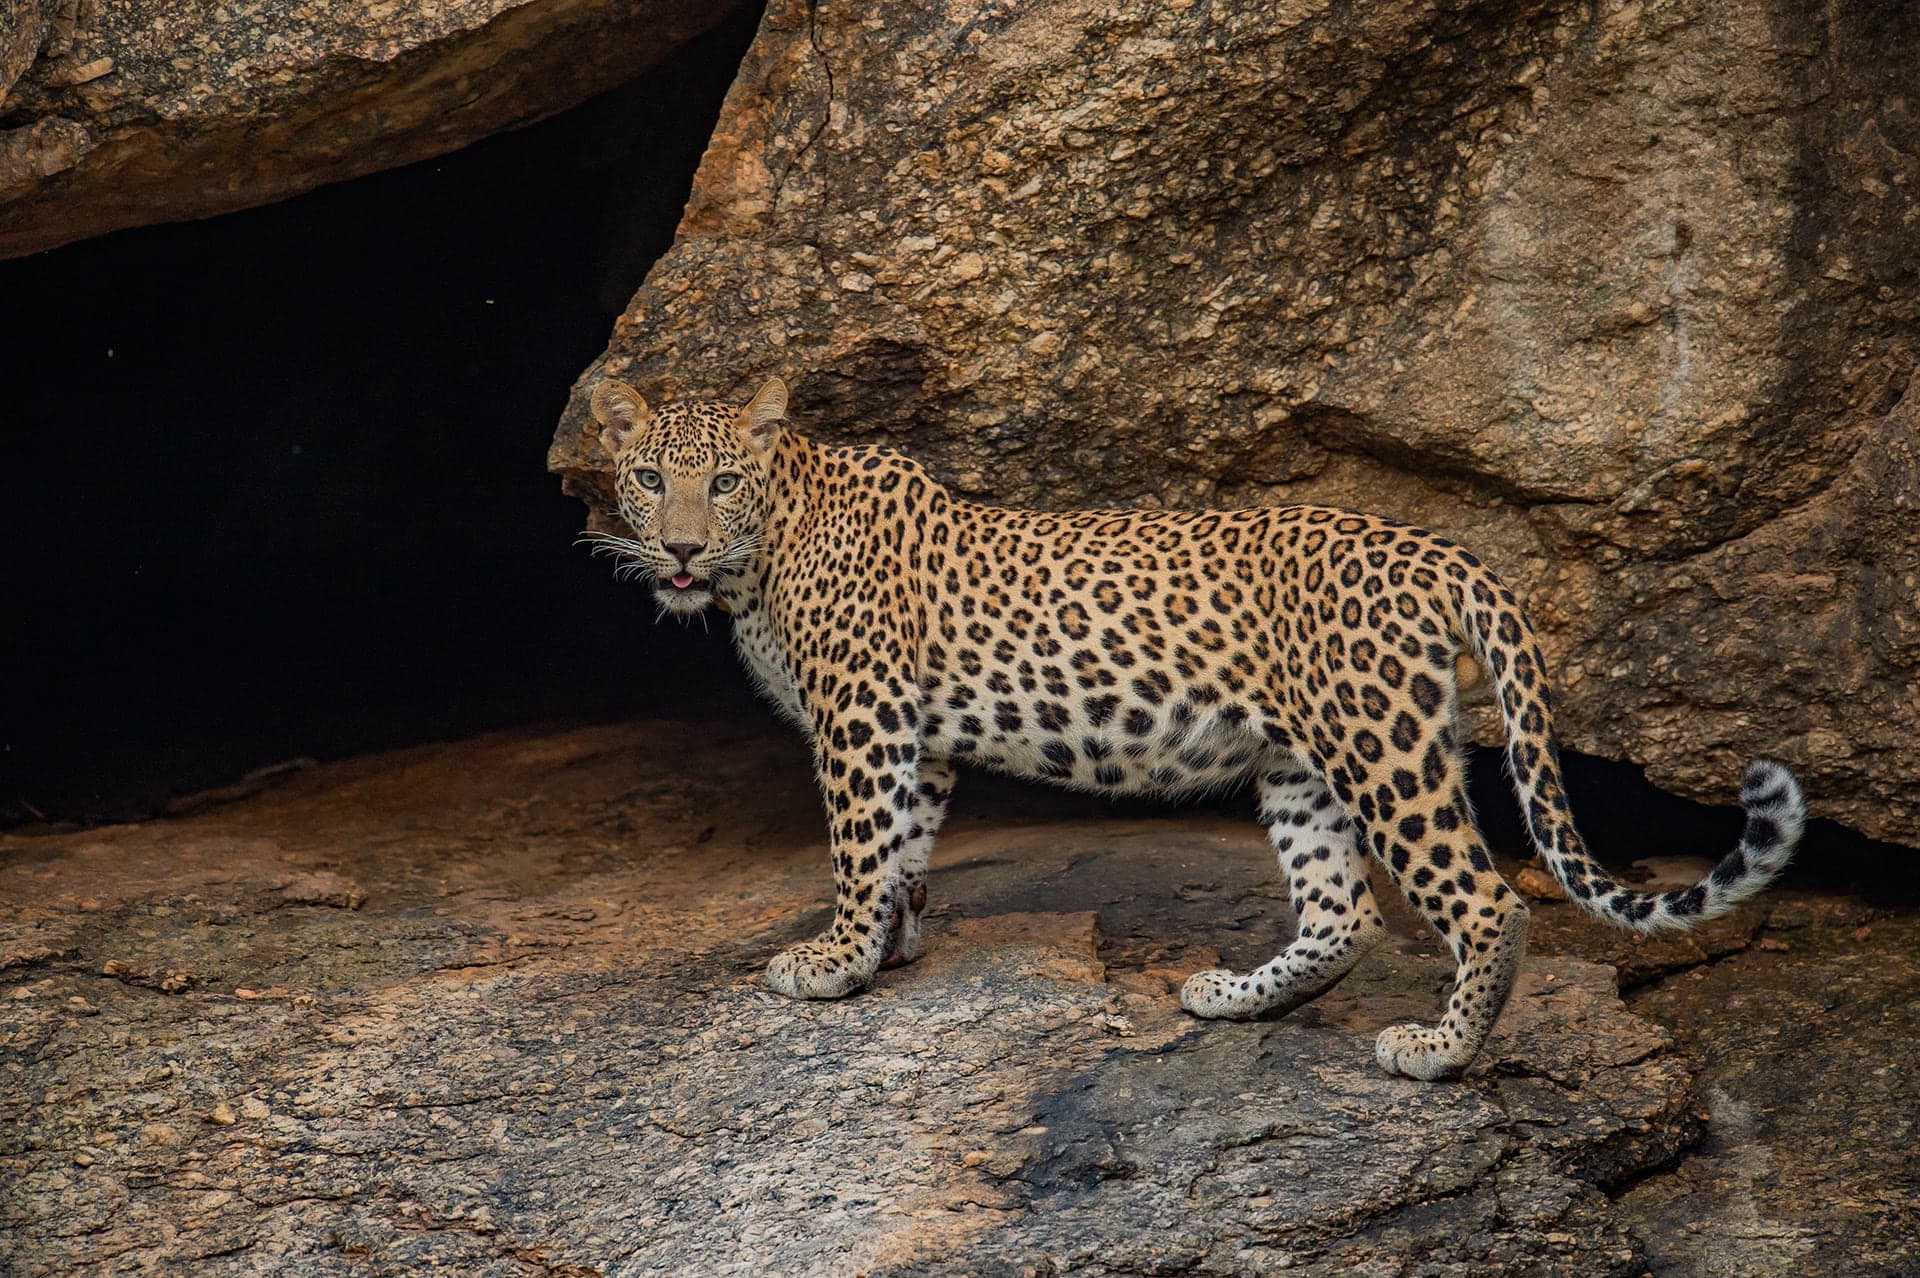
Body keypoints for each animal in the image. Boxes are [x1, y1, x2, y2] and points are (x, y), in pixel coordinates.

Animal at [581, 374, 1805, 1080]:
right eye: (646, 478)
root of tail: (1441, 551)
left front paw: (832, 963)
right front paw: (886, 950)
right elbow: (903, 850)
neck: (762, 553)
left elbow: (855, 846)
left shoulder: (861, 719)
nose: (680, 549)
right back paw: (1234, 998)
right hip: (1302, 766)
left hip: (1383, 751)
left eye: (722, 482)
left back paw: (1441, 1052)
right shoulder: (912, 737)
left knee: (1485, 899)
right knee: (1343, 913)